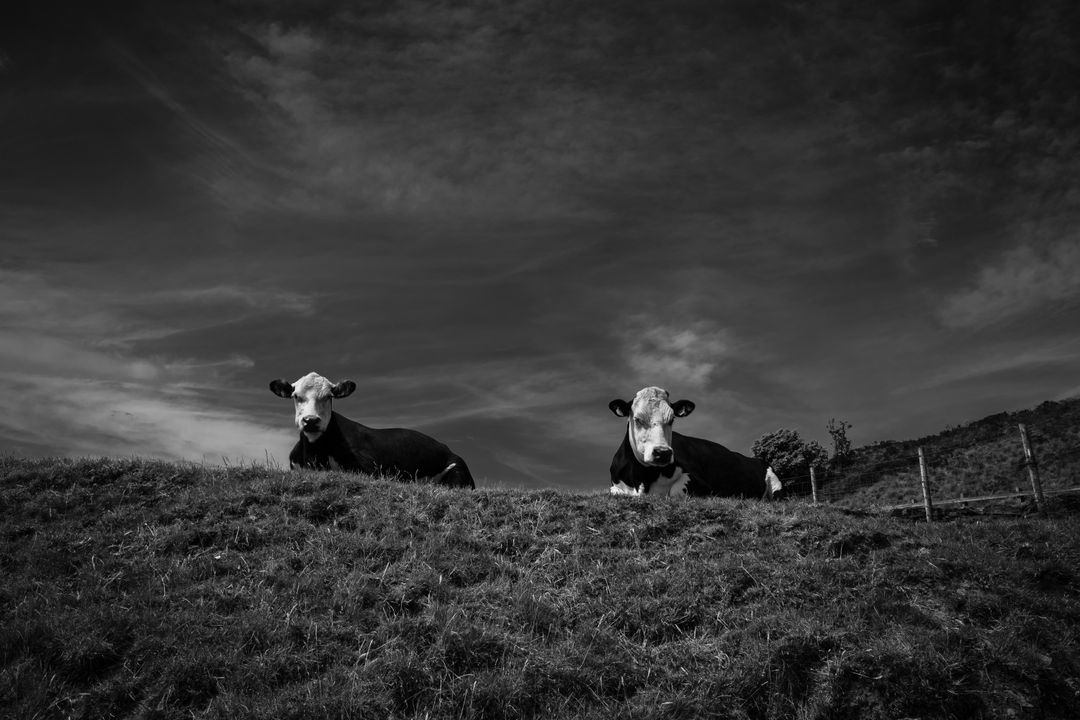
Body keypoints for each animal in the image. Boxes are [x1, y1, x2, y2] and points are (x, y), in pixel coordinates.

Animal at [269, 371, 474, 488]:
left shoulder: (369, 467)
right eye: (296, 396)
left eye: (328, 396)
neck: (314, 457)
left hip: (458, 472)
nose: (311, 420)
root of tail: (447, 448)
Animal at [608, 386, 782, 499]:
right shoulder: (616, 485)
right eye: (637, 419)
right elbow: (615, 492)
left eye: (672, 419)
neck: (643, 479)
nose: (662, 453)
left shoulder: (700, 482)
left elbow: (674, 491)